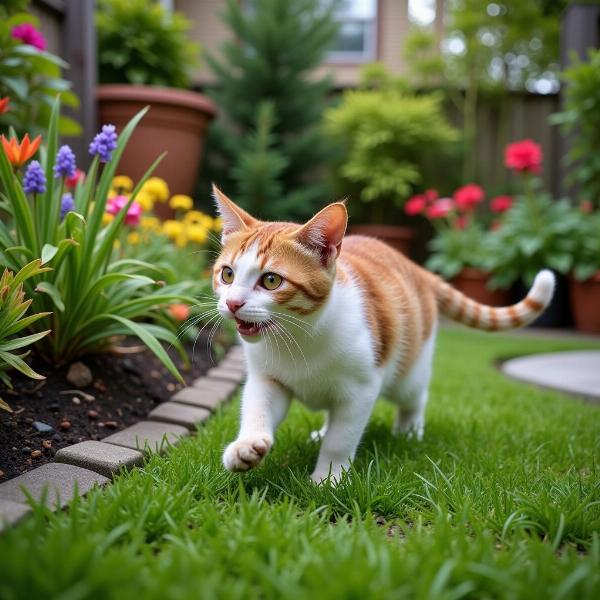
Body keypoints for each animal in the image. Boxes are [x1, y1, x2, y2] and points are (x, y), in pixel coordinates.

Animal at [211, 184, 552, 482]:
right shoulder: (268, 379)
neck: (299, 338)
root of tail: (418, 269)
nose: (232, 303)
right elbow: (257, 409)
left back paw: (409, 431)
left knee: (415, 396)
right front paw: (246, 447)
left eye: (271, 281)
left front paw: (328, 479)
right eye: (227, 274)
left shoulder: (361, 388)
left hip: (408, 372)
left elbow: (341, 438)